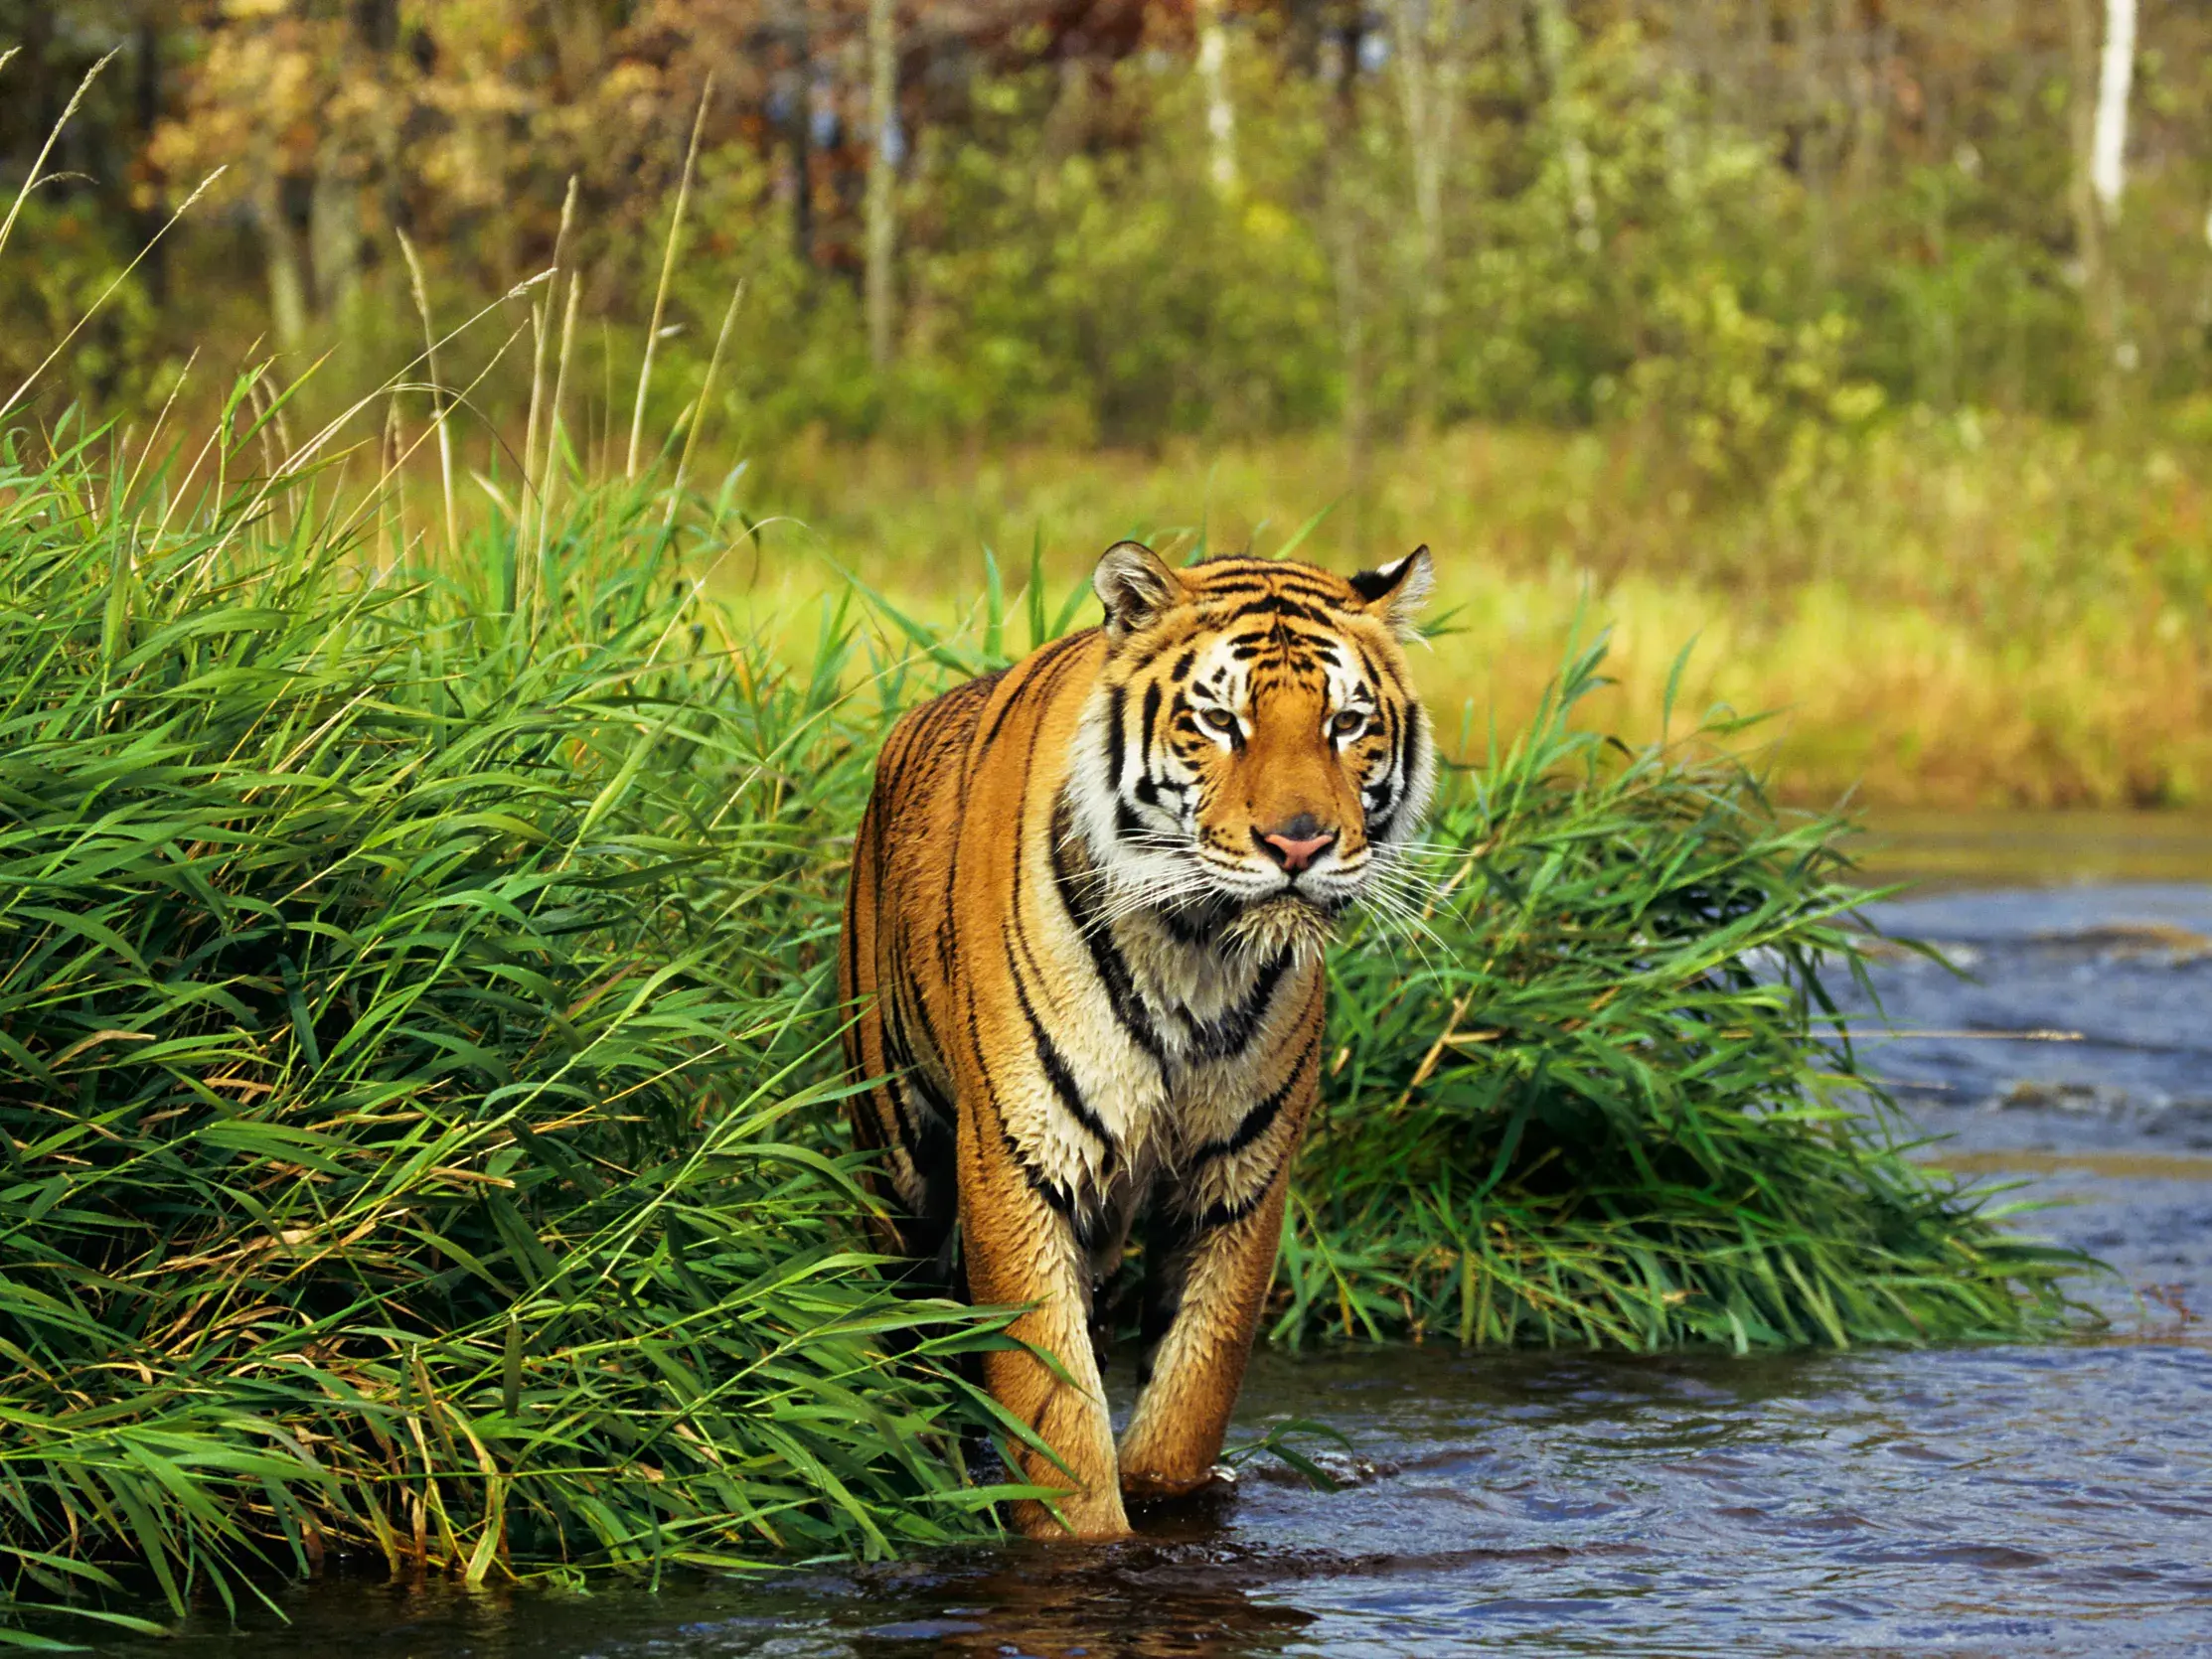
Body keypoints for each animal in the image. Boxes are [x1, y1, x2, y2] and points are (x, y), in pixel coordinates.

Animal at [839, 541, 1436, 1540]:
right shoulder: (1019, 1159)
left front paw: (1165, 1498)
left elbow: (1191, 1391)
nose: (1299, 845)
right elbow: (1053, 1414)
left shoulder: (1239, 1179)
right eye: (1220, 721)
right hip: (897, 1153)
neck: (1196, 948)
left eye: (1348, 723)